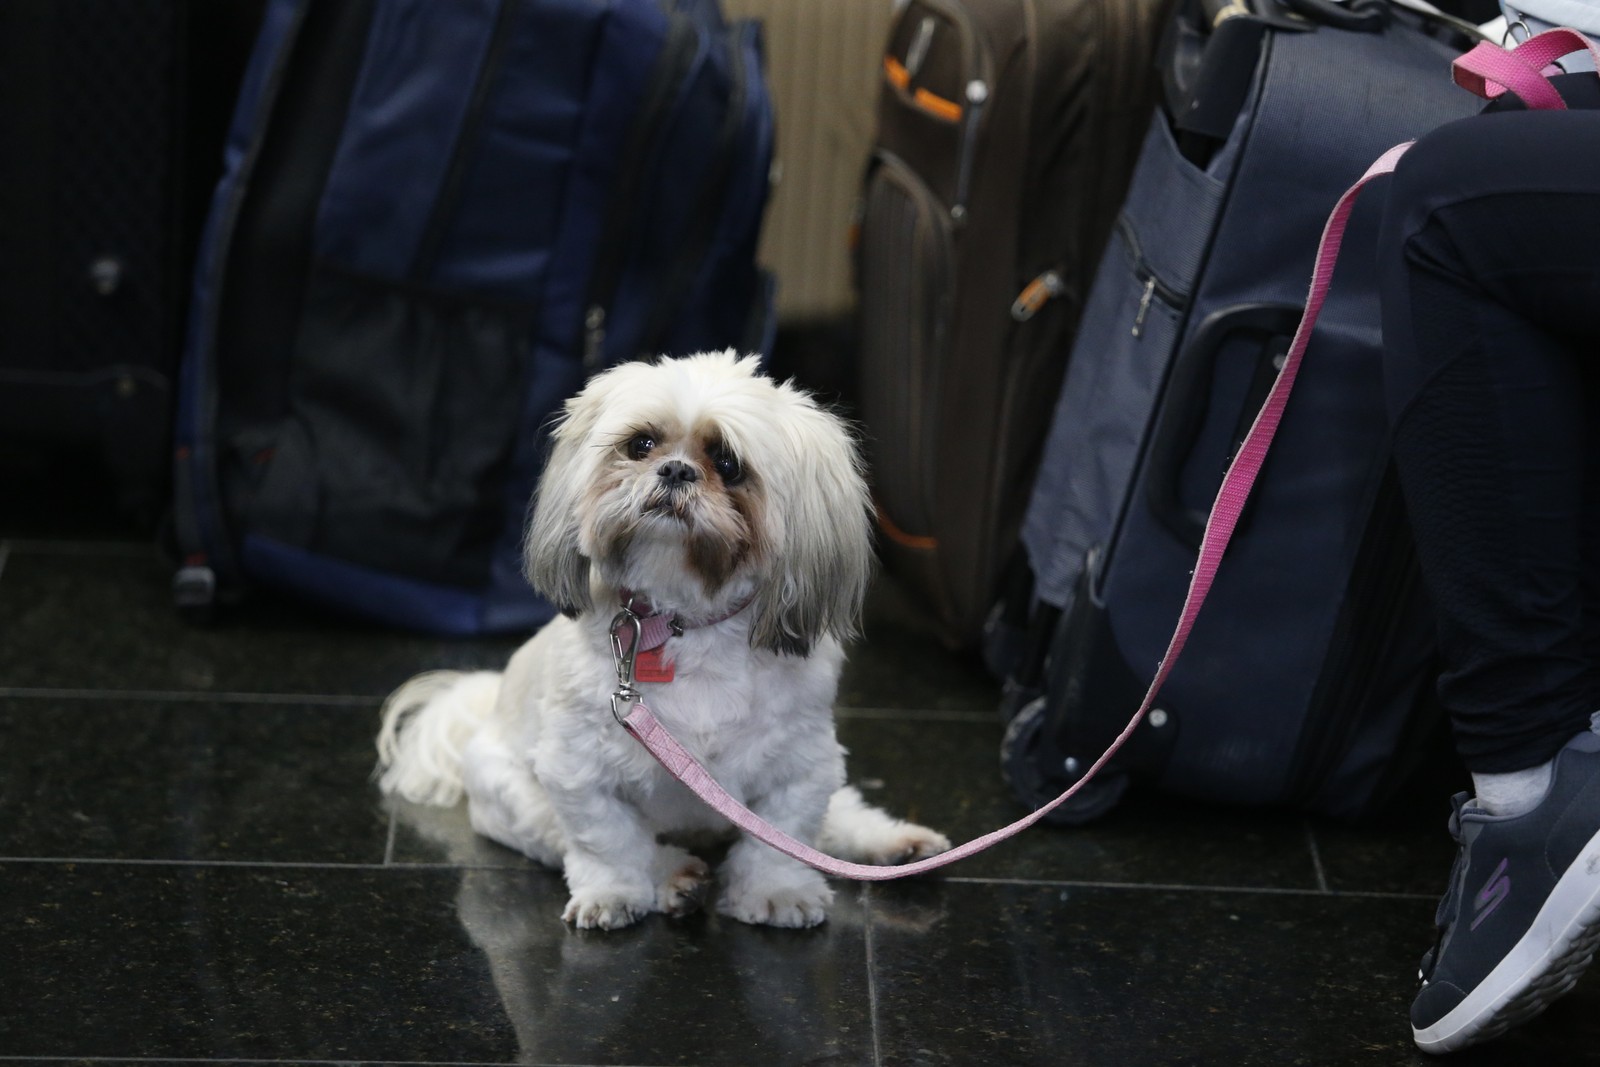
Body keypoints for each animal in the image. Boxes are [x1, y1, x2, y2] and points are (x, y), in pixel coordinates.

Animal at [374, 350, 947, 927]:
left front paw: (776, 891)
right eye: (641, 444)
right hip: (512, 797)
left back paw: (894, 844)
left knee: (836, 815)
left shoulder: (800, 764)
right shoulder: (578, 770)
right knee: (574, 835)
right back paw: (673, 876)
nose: (675, 469)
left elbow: (781, 837)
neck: (685, 624)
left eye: (729, 464)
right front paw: (614, 893)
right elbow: (607, 840)